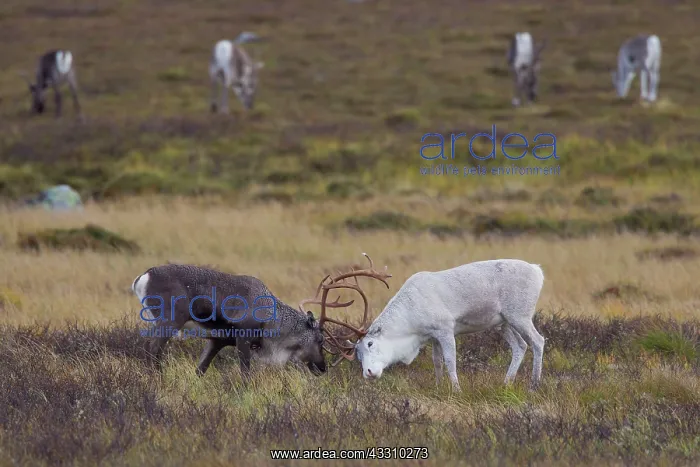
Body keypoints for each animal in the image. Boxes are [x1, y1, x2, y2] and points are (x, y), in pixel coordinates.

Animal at [131, 254, 391, 379]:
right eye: (320, 340)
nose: (322, 368)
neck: (272, 318)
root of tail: (142, 277)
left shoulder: (218, 340)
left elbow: (201, 370)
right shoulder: (243, 337)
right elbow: (245, 373)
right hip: (170, 319)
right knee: (151, 347)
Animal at [334, 259, 546, 393]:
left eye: (370, 344)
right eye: (357, 353)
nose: (368, 373)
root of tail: (537, 271)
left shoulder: (445, 331)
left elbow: (451, 361)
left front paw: (457, 390)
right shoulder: (432, 337)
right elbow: (437, 362)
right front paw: (438, 387)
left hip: (520, 316)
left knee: (538, 341)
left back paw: (534, 385)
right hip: (503, 323)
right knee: (520, 346)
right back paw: (506, 383)